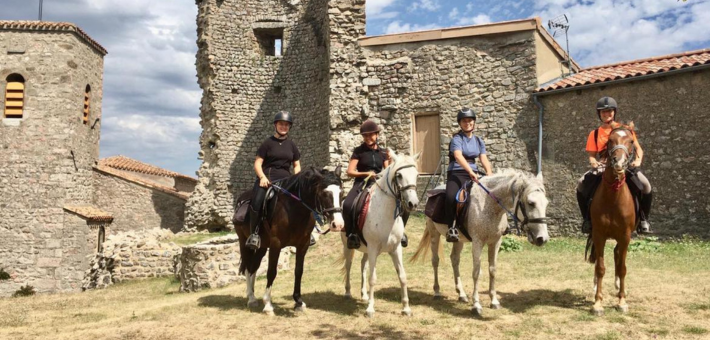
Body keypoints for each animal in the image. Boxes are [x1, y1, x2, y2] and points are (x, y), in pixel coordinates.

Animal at [234, 166, 344, 314]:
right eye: (324, 193)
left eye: (342, 193)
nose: (338, 224)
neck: (294, 210)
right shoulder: (276, 244)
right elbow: (271, 272)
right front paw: (268, 305)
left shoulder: (303, 245)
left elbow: (299, 271)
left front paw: (298, 302)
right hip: (244, 242)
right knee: (247, 267)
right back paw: (251, 298)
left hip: (262, 246)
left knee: (253, 268)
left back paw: (253, 296)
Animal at [340, 150, 420, 318]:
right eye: (399, 175)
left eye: (416, 174)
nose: (413, 203)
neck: (386, 212)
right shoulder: (373, 248)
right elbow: (373, 278)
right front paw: (370, 309)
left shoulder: (396, 249)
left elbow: (402, 276)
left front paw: (406, 308)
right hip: (348, 246)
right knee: (348, 266)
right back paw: (348, 293)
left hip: (365, 249)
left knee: (363, 265)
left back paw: (363, 295)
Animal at [412, 169, 552, 316]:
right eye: (531, 203)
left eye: (546, 203)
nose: (542, 238)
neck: (489, 204)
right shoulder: (477, 242)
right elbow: (476, 272)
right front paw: (476, 305)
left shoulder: (496, 242)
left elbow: (493, 270)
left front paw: (494, 301)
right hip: (434, 232)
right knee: (435, 260)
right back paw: (437, 291)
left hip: (458, 240)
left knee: (454, 259)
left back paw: (461, 294)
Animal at [588, 122, 640, 316]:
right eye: (610, 140)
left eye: (631, 141)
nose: (619, 163)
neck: (613, 198)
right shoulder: (599, 235)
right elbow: (600, 268)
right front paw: (597, 302)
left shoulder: (625, 236)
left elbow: (623, 268)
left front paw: (622, 301)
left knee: (618, 255)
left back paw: (618, 287)